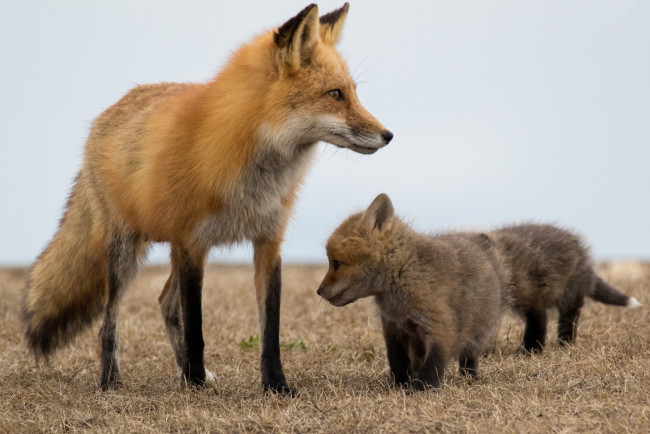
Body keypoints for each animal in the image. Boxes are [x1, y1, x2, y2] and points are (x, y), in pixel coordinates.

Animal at [22, 3, 390, 396]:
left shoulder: (267, 242)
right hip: (125, 252)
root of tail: (107, 113)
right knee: (111, 321)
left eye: (353, 92)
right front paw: (196, 382)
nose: (388, 135)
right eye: (335, 94)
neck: (253, 175)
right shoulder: (191, 243)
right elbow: (196, 327)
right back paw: (112, 380)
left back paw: (181, 370)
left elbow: (269, 331)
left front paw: (275, 384)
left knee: (165, 303)